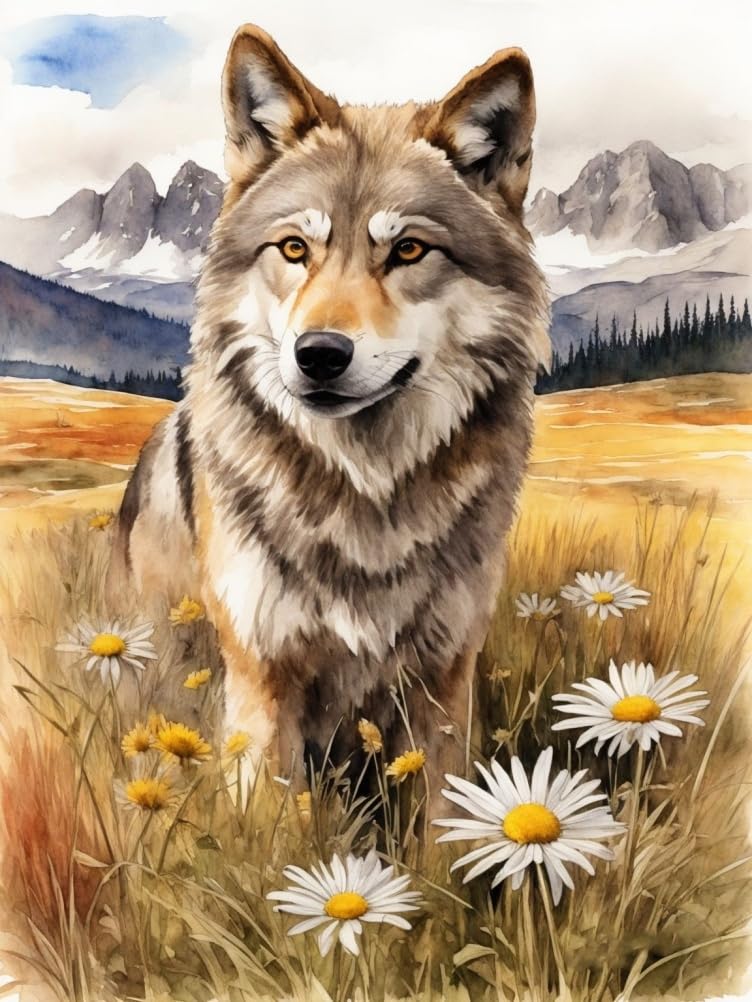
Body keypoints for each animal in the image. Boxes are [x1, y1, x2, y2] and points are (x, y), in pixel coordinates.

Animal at [111, 24, 550, 797]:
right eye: (294, 248)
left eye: (409, 249)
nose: (319, 354)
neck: (365, 493)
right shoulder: (262, 679)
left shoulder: (444, 682)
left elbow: (442, 814)